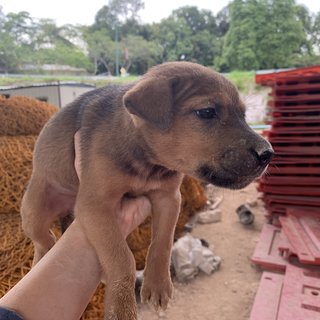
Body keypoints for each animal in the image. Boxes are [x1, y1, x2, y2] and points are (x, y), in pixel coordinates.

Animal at [21, 61, 272, 318]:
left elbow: (162, 243)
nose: (268, 154)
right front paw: (121, 306)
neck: (148, 164)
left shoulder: (169, 198)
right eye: (207, 112)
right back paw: (40, 260)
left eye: (243, 115)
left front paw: (157, 284)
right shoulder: (95, 205)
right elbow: (122, 258)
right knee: (43, 239)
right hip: (34, 210)